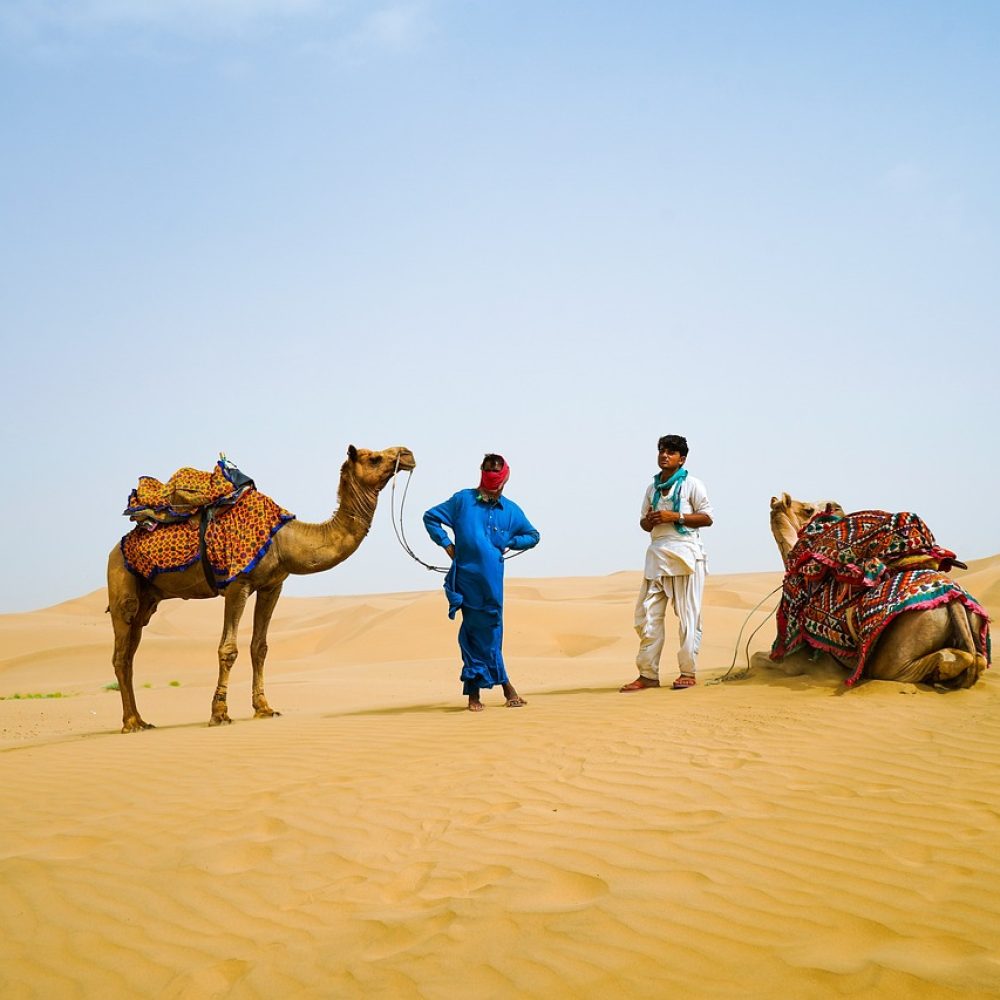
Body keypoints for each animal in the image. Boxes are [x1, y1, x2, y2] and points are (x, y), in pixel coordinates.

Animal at [110, 442, 418, 732]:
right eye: (374, 458)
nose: (408, 454)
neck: (285, 541)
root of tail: (116, 549)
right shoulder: (237, 584)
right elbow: (228, 649)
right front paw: (219, 714)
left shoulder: (272, 585)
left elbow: (260, 647)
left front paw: (264, 708)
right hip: (121, 585)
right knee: (121, 655)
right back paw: (131, 723)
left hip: (147, 601)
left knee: (131, 653)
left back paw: (140, 720)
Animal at [760, 492, 988, 688]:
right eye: (808, 510)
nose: (837, 506)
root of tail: (954, 600)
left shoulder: (812, 664)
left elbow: (761, 660)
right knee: (975, 659)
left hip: (900, 649)